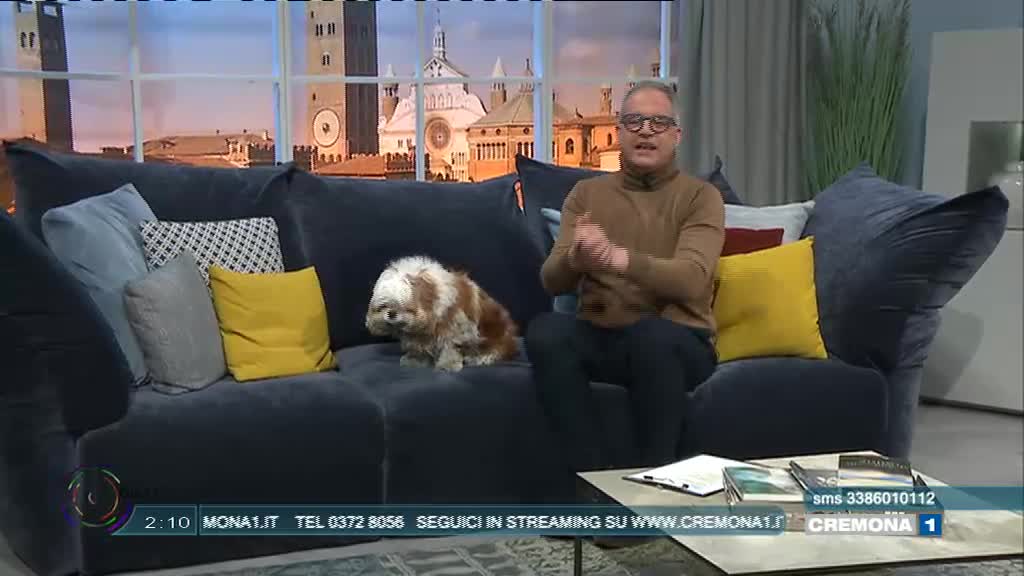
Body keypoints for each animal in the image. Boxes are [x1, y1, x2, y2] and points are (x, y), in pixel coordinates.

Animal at [365, 256, 519, 372]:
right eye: (384, 306)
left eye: (405, 306)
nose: (391, 313)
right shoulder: (419, 334)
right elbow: (419, 345)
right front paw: (416, 359)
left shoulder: (457, 328)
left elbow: (450, 347)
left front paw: (447, 365)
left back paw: (480, 357)